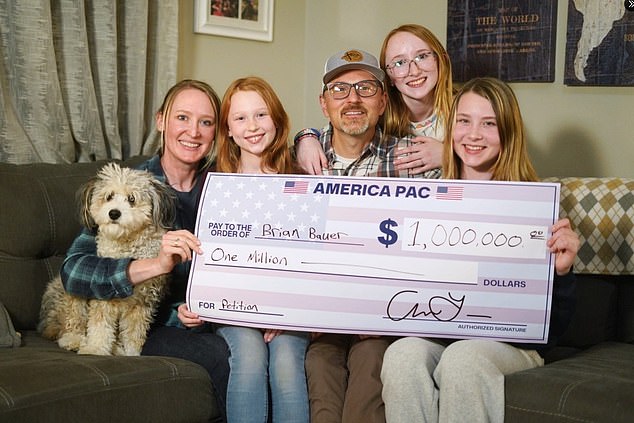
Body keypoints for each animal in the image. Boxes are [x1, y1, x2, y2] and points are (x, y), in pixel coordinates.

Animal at [37, 164, 175, 356]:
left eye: (132, 199)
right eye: (109, 196)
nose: (114, 213)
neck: (126, 244)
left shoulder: (141, 304)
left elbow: (134, 334)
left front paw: (132, 354)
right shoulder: (102, 295)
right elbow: (100, 327)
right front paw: (95, 349)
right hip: (70, 293)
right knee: (70, 323)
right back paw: (74, 340)